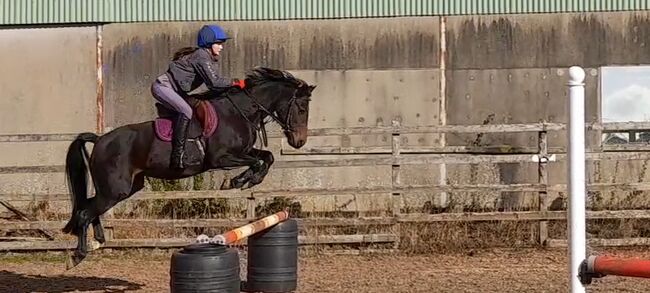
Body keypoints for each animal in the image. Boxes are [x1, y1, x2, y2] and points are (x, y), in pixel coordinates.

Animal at [62, 66, 316, 266]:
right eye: (302, 108)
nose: (299, 142)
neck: (240, 111)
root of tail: (100, 140)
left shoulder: (243, 151)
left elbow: (267, 157)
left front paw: (248, 179)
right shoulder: (221, 158)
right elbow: (257, 161)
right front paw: (241, 180)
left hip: (125, 187)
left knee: (89, 207)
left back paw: (98, 241)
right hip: (115, 190)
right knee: (85, 212)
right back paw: (79, 255)